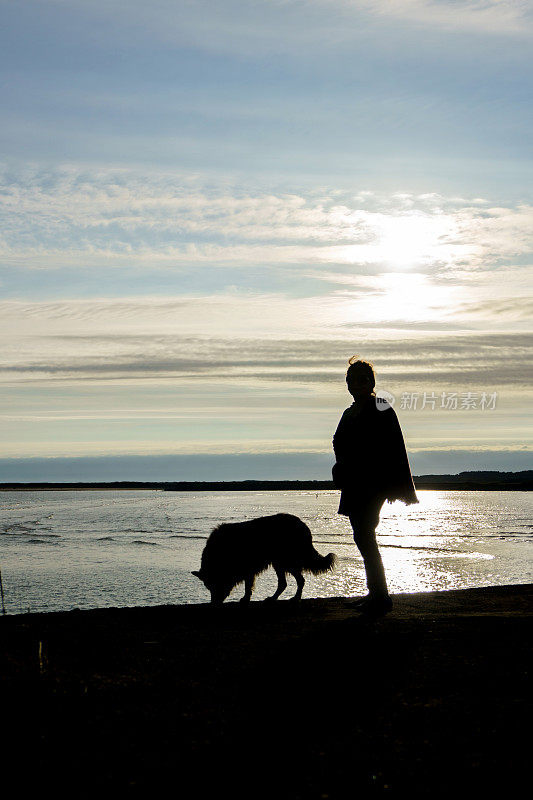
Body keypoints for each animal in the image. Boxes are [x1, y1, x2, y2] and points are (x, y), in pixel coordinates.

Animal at [192, 516, 336, 604]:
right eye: (208, 587)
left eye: (214, 585)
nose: (214, 603)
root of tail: (303, 525)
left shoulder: (247, 568)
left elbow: (248, 586)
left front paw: (245, 599)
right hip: (279, 563)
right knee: (284, 583)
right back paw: (274, 598)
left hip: (286, 561)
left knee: (299, 580)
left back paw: (295, 598)